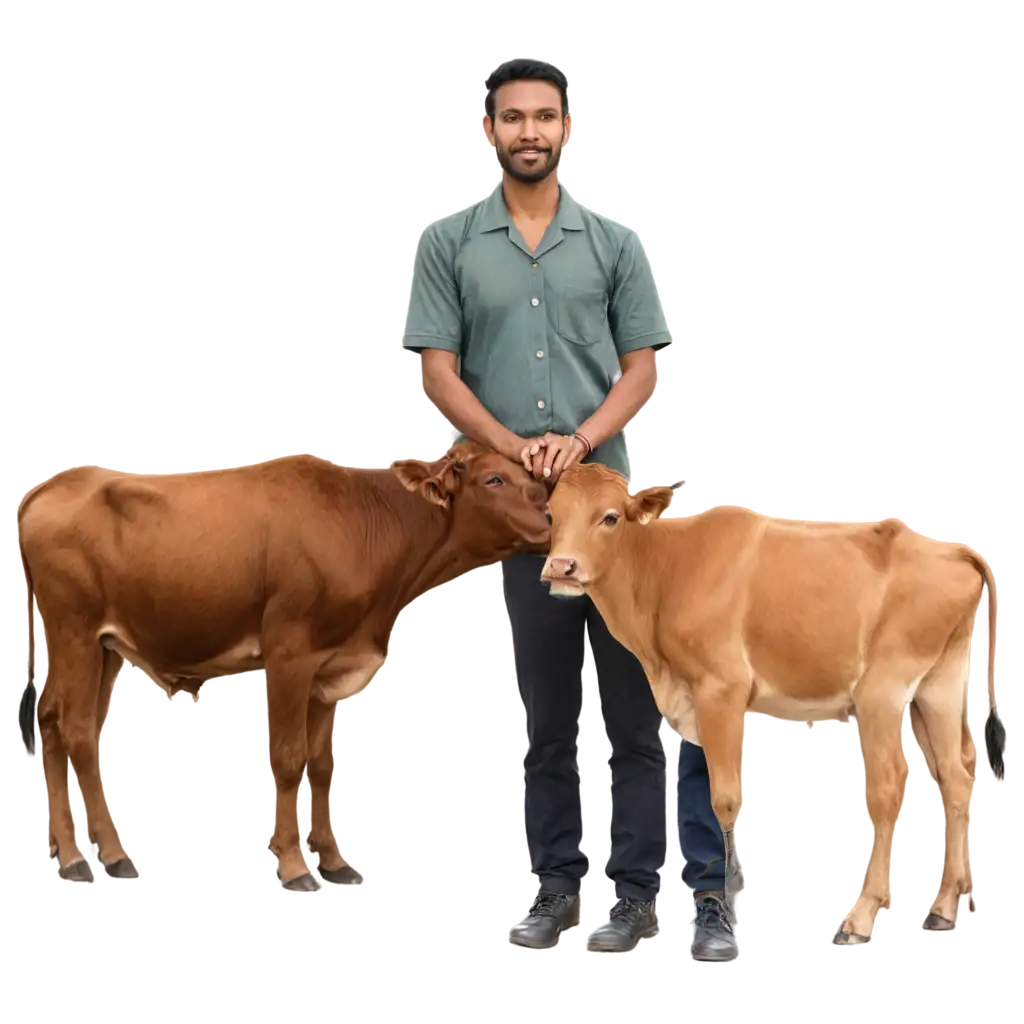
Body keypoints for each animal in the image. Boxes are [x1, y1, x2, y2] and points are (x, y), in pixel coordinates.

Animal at [16, 440, 548, 897]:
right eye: (494, 478)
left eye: (531, 475)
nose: (548, 517)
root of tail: (52, 486)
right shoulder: (290, 652)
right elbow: (289, 759)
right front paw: (295, 866)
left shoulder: (331, 668)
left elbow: (322, 764)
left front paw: (333, 861)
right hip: (76, 630)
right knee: (76, 729)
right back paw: (103, 854)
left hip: (100, 645)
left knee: (50, 719)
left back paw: (64, 847)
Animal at [540, 462, 1003, 942]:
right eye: (551, 513)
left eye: (610, 517)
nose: (561, 566)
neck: (669, 567)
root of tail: (952, 551)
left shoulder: (720, 688)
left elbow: (724, 798)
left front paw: (726, 901)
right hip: (936, 688)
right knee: (955, 777)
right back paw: (944, 904)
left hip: (883, 692)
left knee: (886, 788)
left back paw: (862, 913)